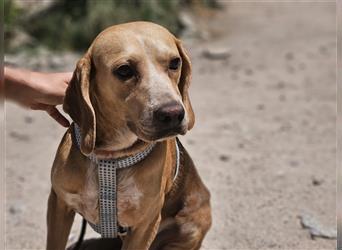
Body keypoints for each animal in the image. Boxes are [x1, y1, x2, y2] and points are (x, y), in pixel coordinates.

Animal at [45, 22, 211, 250]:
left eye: (175, 63)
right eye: (124, 70)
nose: (173, 114)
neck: (110, 160)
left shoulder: (144, 227)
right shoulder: (58, 205)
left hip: (192, 226)